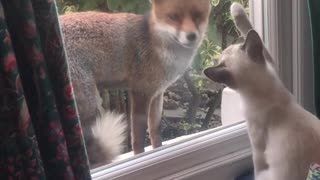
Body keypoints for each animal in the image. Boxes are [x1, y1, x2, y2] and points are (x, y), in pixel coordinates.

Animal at [59, 0, 212, 166]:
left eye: (197, 15)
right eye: (173, 17)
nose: (191, 36)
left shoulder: (157, 94)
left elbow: (155, 130)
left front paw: (159, 151)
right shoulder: (141, 92)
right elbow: (138, 136)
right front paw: (140, 158)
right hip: (90, 104)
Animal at [204, 2, 320, 179]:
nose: (217, 55)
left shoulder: (257, 144)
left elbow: (257, 167)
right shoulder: (270, 64)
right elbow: (249, 28)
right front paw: (236, 9)